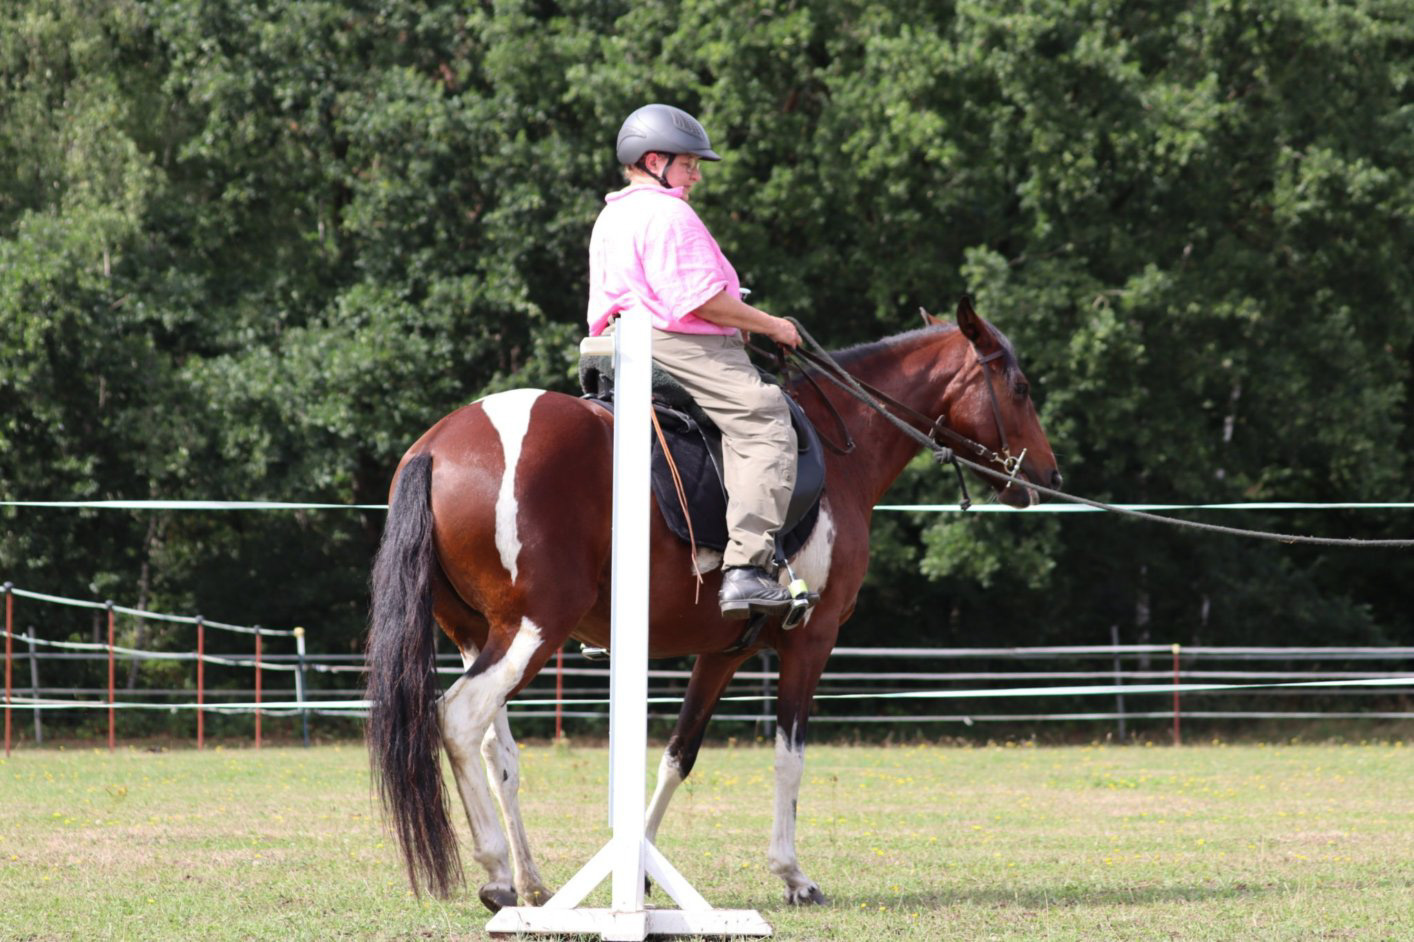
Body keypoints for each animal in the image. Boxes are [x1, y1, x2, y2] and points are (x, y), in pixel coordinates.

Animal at [364, 295, 1063, 910]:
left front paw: (641, 869)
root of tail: (436, 445)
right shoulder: (811, 640)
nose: (1048, 477)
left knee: (496, 750)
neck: (843, 450)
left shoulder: (724, 650)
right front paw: (792, 876)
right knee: (460, 719)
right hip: (533, 629)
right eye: (1021, 387)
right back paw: (496, 873)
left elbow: (679, 754)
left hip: (480, 635)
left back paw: (530, 882)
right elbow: (789, 756)